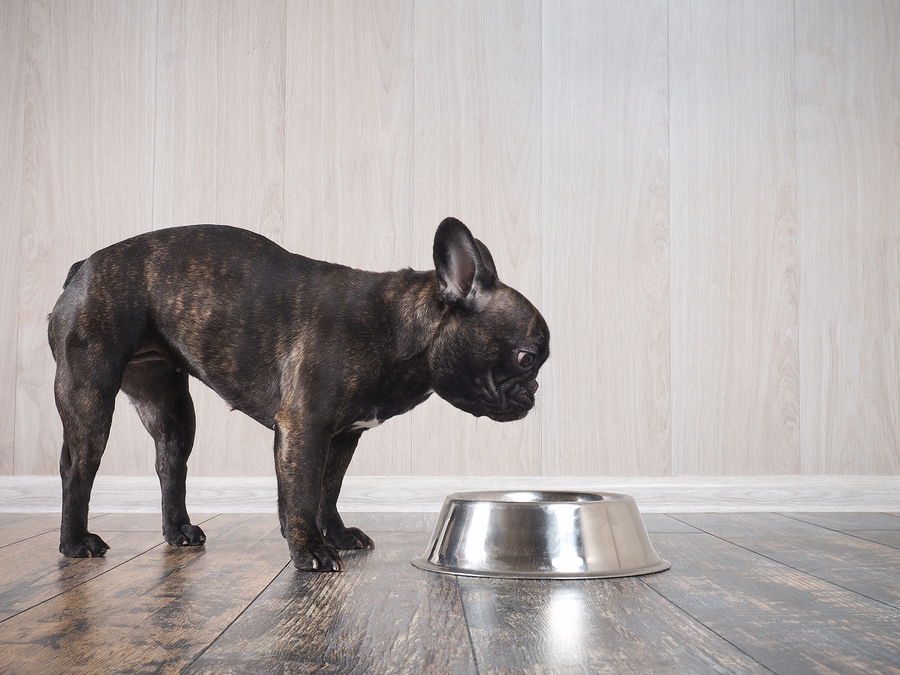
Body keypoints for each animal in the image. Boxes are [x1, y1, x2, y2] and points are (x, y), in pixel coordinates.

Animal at [52, 220, 552, 572]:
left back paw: (177, 531)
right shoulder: (305, 427)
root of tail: (82, 267)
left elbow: (328, 489)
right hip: (90, 394)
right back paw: (76, 543)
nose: (534, 392)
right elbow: (303, 490)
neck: (396, 329)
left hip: (171, 407)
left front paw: (336, 536)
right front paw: (310, 550)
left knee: (170, 461)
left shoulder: (343, 436)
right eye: (526, 358)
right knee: (77, 468)